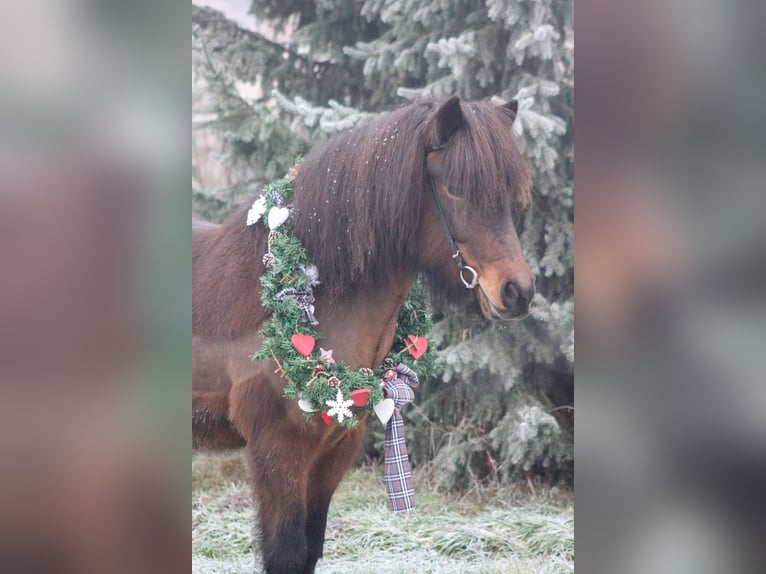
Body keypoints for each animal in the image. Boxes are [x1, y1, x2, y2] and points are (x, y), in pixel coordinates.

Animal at [192, 96, 535, 573]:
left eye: (506, 194)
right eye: (454, 188)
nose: (518, 292)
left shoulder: (334, 450)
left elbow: (309, 548)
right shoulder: (277, 451)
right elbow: (285, 553)